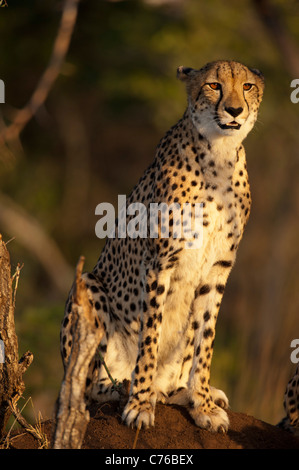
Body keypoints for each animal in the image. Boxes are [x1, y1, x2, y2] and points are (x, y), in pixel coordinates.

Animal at [60, 59, 264, 434]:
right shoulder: (159, 261)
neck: (220, 156)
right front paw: (140, 402)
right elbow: (150, 335)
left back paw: (182, 391)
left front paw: (203, 403)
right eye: (214, 85)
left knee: (175, 375)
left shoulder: (217, 270)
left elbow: (205, 339)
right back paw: (123, 386)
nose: (234, 110)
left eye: (247, 87)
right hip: (89, 285)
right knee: (87, 386)